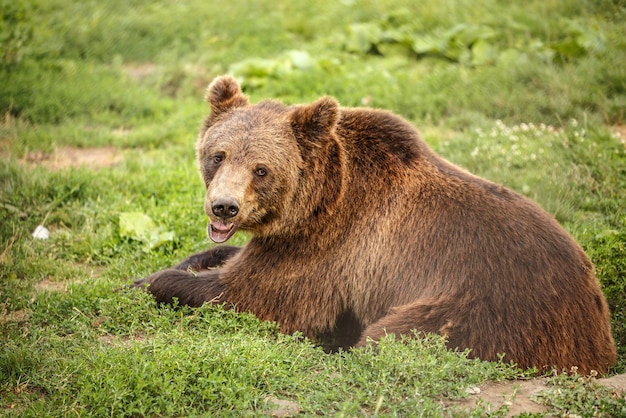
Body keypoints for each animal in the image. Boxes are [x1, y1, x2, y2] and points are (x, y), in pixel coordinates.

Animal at [136, 75, 616, 376]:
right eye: (217, 154)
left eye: (261, 169)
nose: (224, 208)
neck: (317, 202)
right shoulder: (292, 240)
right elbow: (229, 258)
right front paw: (191, 260)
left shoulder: (330, 248)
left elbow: (249, 295)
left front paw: (147, 281)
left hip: (483, 311)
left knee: (391, 337)